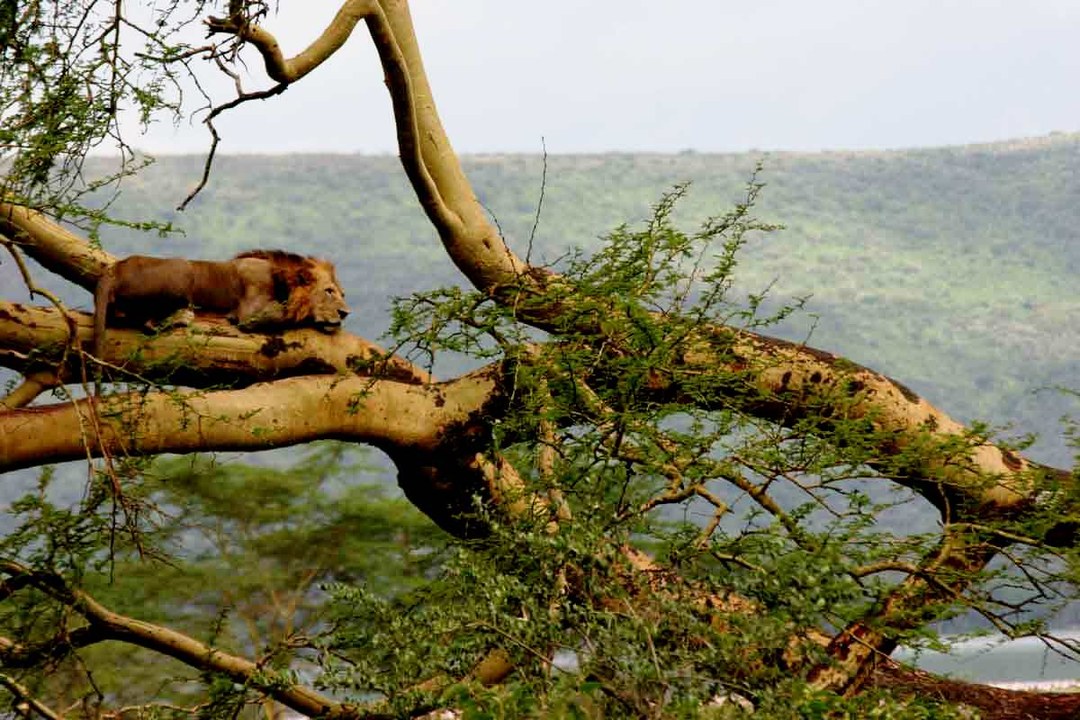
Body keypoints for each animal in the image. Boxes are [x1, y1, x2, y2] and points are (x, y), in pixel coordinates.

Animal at [93, 249, 349, 359]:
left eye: (343, 293)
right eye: (329, 291)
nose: (345, 312)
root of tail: (114, 270)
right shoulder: (251, 311)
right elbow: (285, 313)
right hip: (183, 266)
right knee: (147, 323)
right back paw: (183, 317)